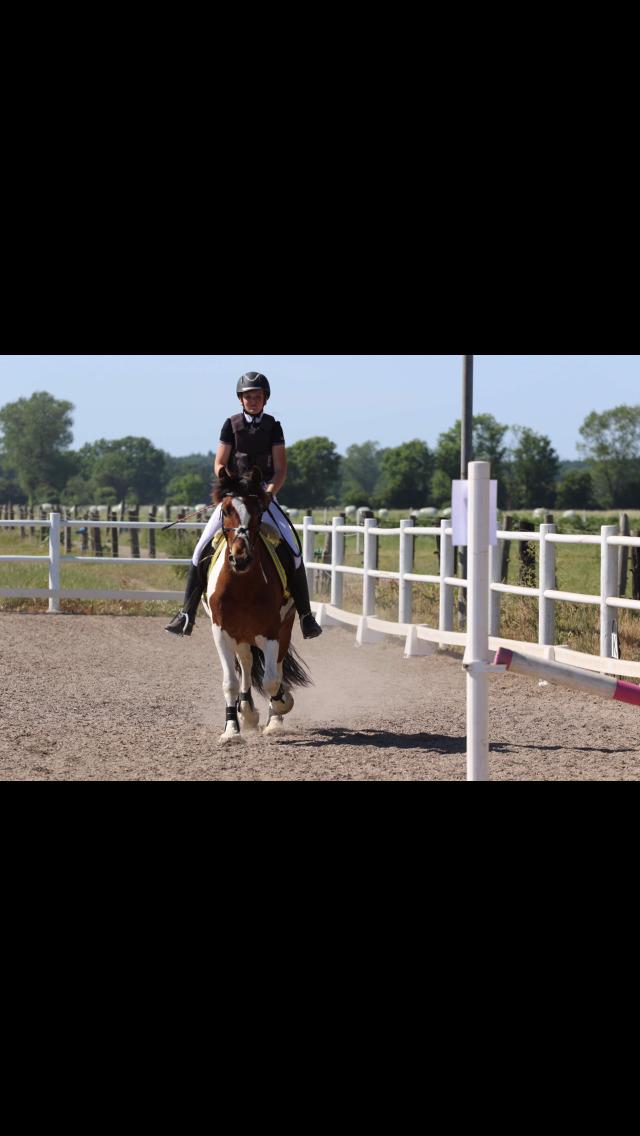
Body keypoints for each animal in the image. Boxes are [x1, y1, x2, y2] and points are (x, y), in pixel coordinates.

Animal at [204, 463, 311, 745]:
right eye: (226, 510)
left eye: (258, 510)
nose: (240, 558)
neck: (242, 583)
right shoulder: (221, 632)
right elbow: (230, 682)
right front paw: (232, 730)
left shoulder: (272, 631)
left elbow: (272, 681)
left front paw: (283, 704)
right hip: (241, 635)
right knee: (246, 664)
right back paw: (248, 712)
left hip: (284, 627)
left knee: (276, 669)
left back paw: (273, 721)